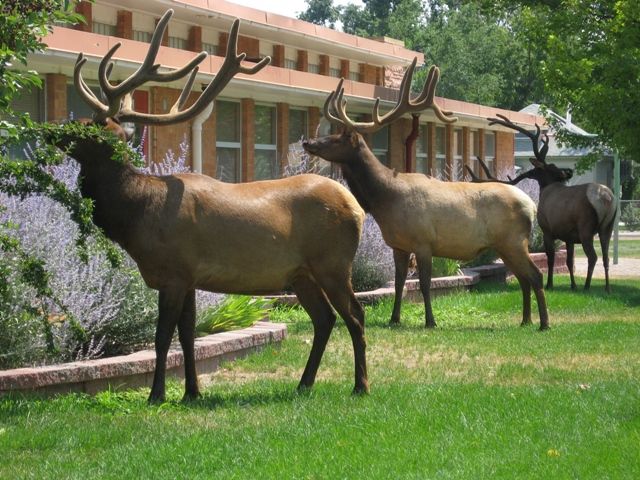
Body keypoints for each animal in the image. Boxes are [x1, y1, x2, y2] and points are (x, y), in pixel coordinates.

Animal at [47, 10, 369, 403]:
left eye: (89, 129)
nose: (51, 131)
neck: (139, 217)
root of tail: (357, 208)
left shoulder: (174, 271)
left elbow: (162, 338)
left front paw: (157, 395)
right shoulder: (188, 276)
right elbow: (187, 336)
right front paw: (191, 392)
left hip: (333, 263)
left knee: (355, 315)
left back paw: (360, 385)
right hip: (301, 273)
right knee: (324, 318)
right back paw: (303, 383)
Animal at [303, 58, 550, 330]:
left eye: (339, 138)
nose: (308, 143)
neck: (384, 200)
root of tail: (532, 205)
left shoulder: (423, 242)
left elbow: (423, 285)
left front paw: (430, 321)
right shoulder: (398, 245)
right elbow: (399, 283)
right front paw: (394, 318)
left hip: (514, 240)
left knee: (535, 275)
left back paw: (543, 323)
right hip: (505, 244)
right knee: (523, 278)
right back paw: (525, 320)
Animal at [467, 114, 617, 292]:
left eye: (548, 166)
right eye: (553, 166)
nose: (569, 171)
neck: (546, 189)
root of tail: (606, 199)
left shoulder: (547, 229)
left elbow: (550, 258)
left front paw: (549, 284)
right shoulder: (568, 236)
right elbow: (569, 261)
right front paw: (573, 285)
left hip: (585, 226)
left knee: (593, 256)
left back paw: (587, 287)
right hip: (607, 226)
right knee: (606, 257)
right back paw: (607, 288)